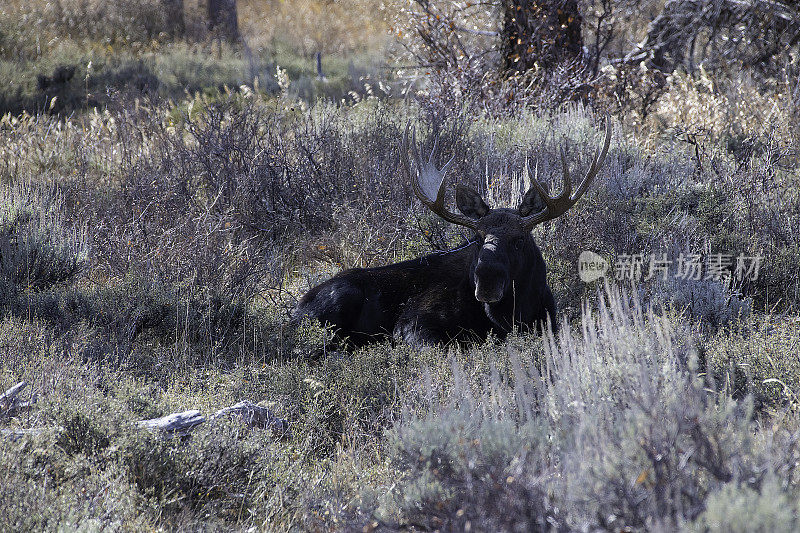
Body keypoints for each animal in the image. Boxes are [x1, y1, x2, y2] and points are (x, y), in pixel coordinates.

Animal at [294, 119, 612, 344]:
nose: (486, 279)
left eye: (519, 240)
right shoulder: (412, 324)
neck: (513, 315)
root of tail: (296, 311)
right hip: (338, 303)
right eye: (477, 238)